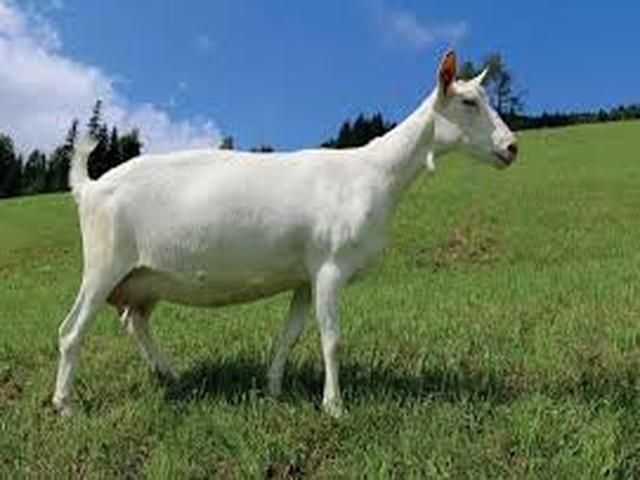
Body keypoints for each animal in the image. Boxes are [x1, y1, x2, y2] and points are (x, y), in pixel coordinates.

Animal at [53, 50, 518, 417]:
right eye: (468, 101)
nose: (512, 146)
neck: (373, 173)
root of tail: (89, 186)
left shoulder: (305, 276)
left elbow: (290, 335)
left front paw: (273, 389)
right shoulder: (330, 267)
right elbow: (332, 340)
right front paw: (334, 407)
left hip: (145, 277)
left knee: (135, 320)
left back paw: (170, 374)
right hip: (104, 263)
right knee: (71, 331)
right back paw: (66, 405)